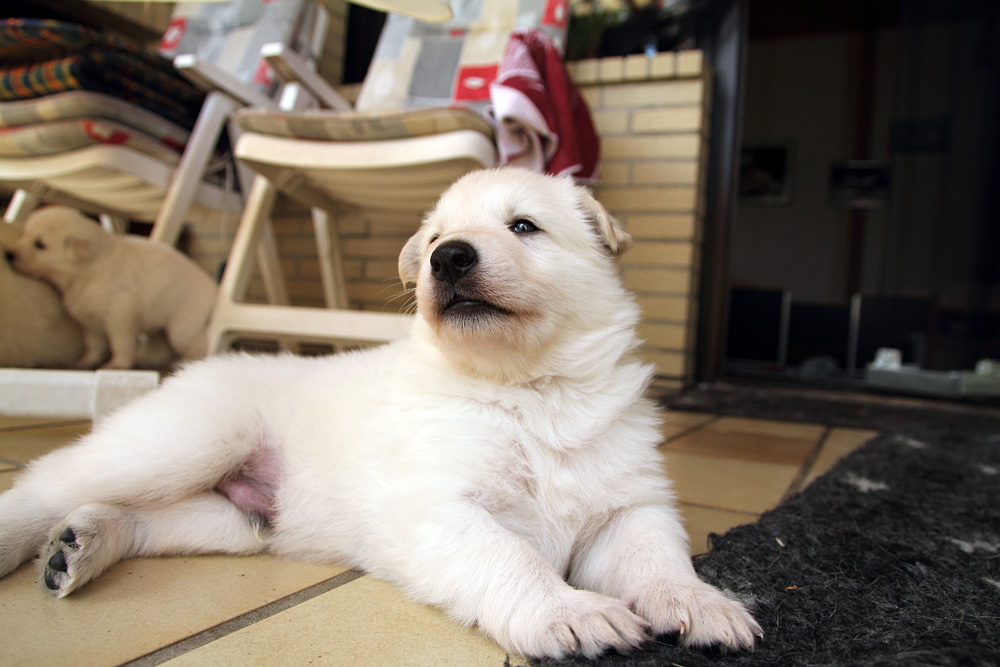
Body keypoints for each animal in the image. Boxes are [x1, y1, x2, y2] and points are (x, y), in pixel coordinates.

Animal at [4, 206, 217, 369]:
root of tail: (214, 290)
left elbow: (120, 343)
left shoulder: (120, 315)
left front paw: (118, 364)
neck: (89, 270)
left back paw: (183, 362)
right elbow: (94, 344)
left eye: (39, 244)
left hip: (182, 327)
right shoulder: (89, 320)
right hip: (159, 326)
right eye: (25, 234)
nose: (8, 254)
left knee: (198, 344)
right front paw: (86, 361)